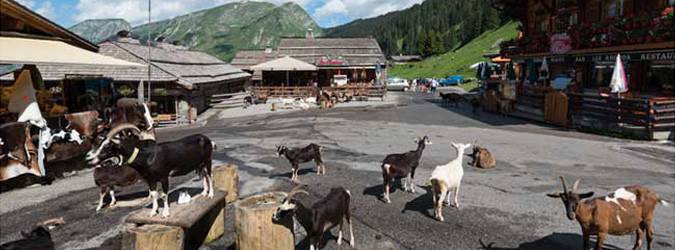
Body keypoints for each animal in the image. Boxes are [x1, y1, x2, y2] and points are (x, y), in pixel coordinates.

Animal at [84, 124, 215, 217]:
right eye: (100, 144)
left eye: (106, 146)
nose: (89, 158)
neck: (147, 158)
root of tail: (208, 140)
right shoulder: (150, 179)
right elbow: (153, 194)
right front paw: (153, 212)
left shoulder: (164, 176)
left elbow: (164, 195)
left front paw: (165, 213)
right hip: (200, 164)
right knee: (203, 175)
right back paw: (204, 192)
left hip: (208, 160)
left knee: (209, 175)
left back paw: (211, 195)